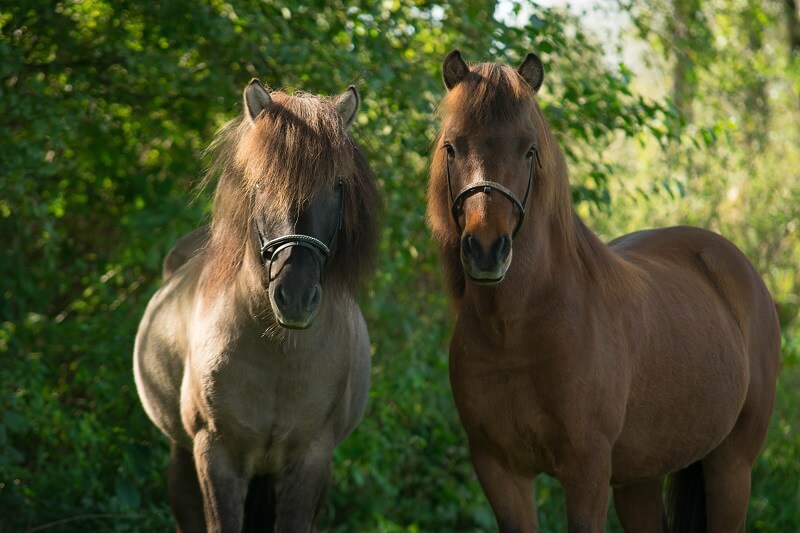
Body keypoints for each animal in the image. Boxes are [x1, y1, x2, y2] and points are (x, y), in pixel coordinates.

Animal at [134, 79, 378, 532]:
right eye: (261, 181)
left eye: (338, 185)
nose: (295, 296)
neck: (278, 355)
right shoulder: (216, 454)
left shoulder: (312, 459)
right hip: (183, 457)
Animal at [428, 47, 780, 528]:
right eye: (452, 147)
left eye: (529, 150)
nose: (486, 249)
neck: (515, 334)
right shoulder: (499, 470)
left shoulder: (587, 471)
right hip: (639, 479)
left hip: (731, 465)